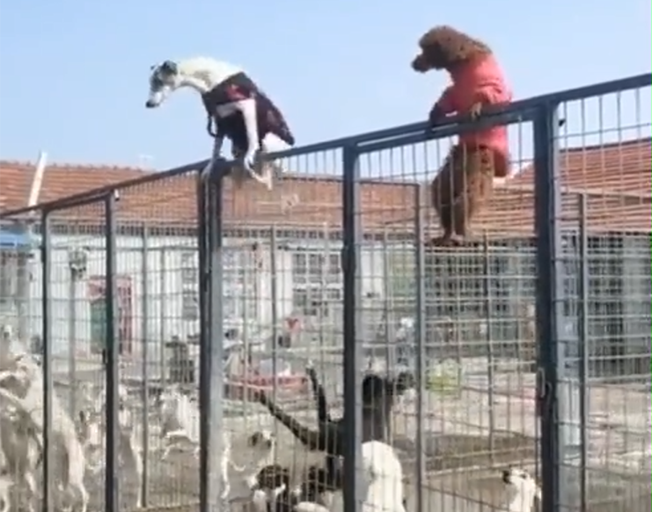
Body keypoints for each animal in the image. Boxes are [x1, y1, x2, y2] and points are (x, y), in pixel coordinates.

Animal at [145, 56, 296, 188]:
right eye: (150, 82)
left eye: (159, 81)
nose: (148, 104)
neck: (212, 82)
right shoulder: (220, 121)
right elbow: (215, 149)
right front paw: (210, 166)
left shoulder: (247, 105)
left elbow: (251, 135)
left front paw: (249, 154)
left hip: (269, 144)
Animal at [412, 25, 516, 246]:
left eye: (424, 50)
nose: (415, 62)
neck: (462, 62)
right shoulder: (457, 90)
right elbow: (448, 98)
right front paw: (434, 115)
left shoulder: (487, 79)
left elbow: (494, 94)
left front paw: (477, 106)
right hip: (456, 162)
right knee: (441, 190)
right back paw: (446, 232)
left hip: (477, 160)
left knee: (469, 194)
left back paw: (462, 231)